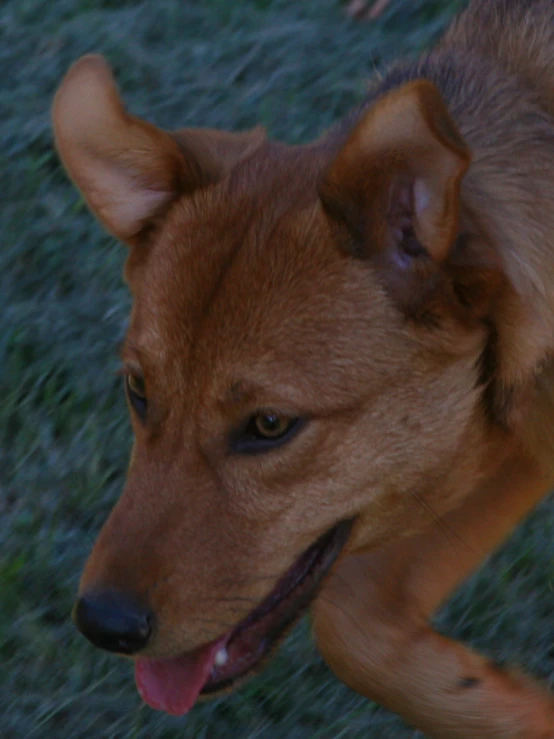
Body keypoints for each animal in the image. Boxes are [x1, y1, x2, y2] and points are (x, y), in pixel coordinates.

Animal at [52, 2, 552, 736]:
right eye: (138, 390)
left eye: (269, 425)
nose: (102, 625)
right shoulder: (502, 441)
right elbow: (354, 629)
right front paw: (513, 706)